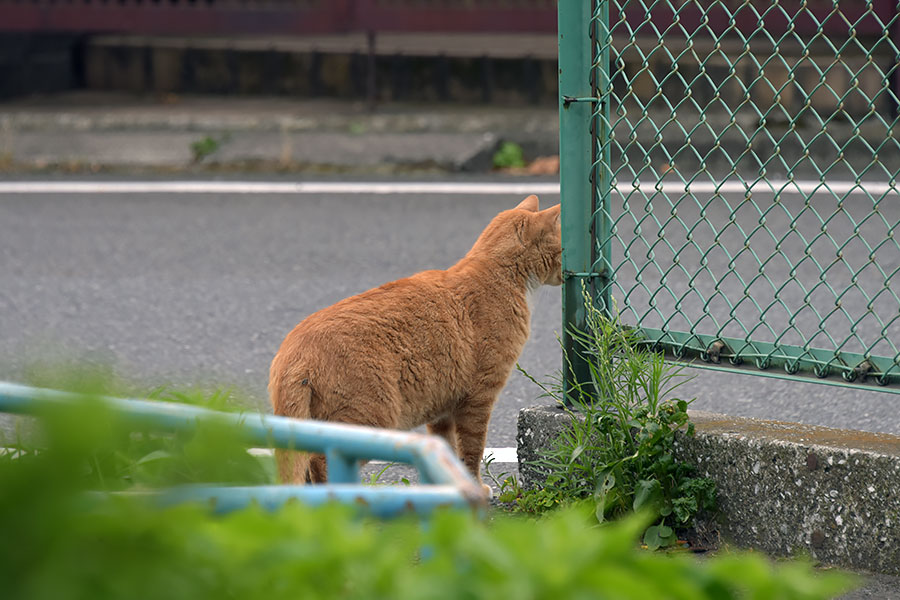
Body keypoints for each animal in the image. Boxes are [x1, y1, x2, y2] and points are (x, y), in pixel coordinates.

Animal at [268, 195, 564, 494]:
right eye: (564, 248)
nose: (567, 273)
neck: (499, 275)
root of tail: (292, 353)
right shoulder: (478, 398)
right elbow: (472, 450)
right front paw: (475, 486)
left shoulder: (442, 407)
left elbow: (448, 451)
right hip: (372, 417)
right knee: (323, 461)